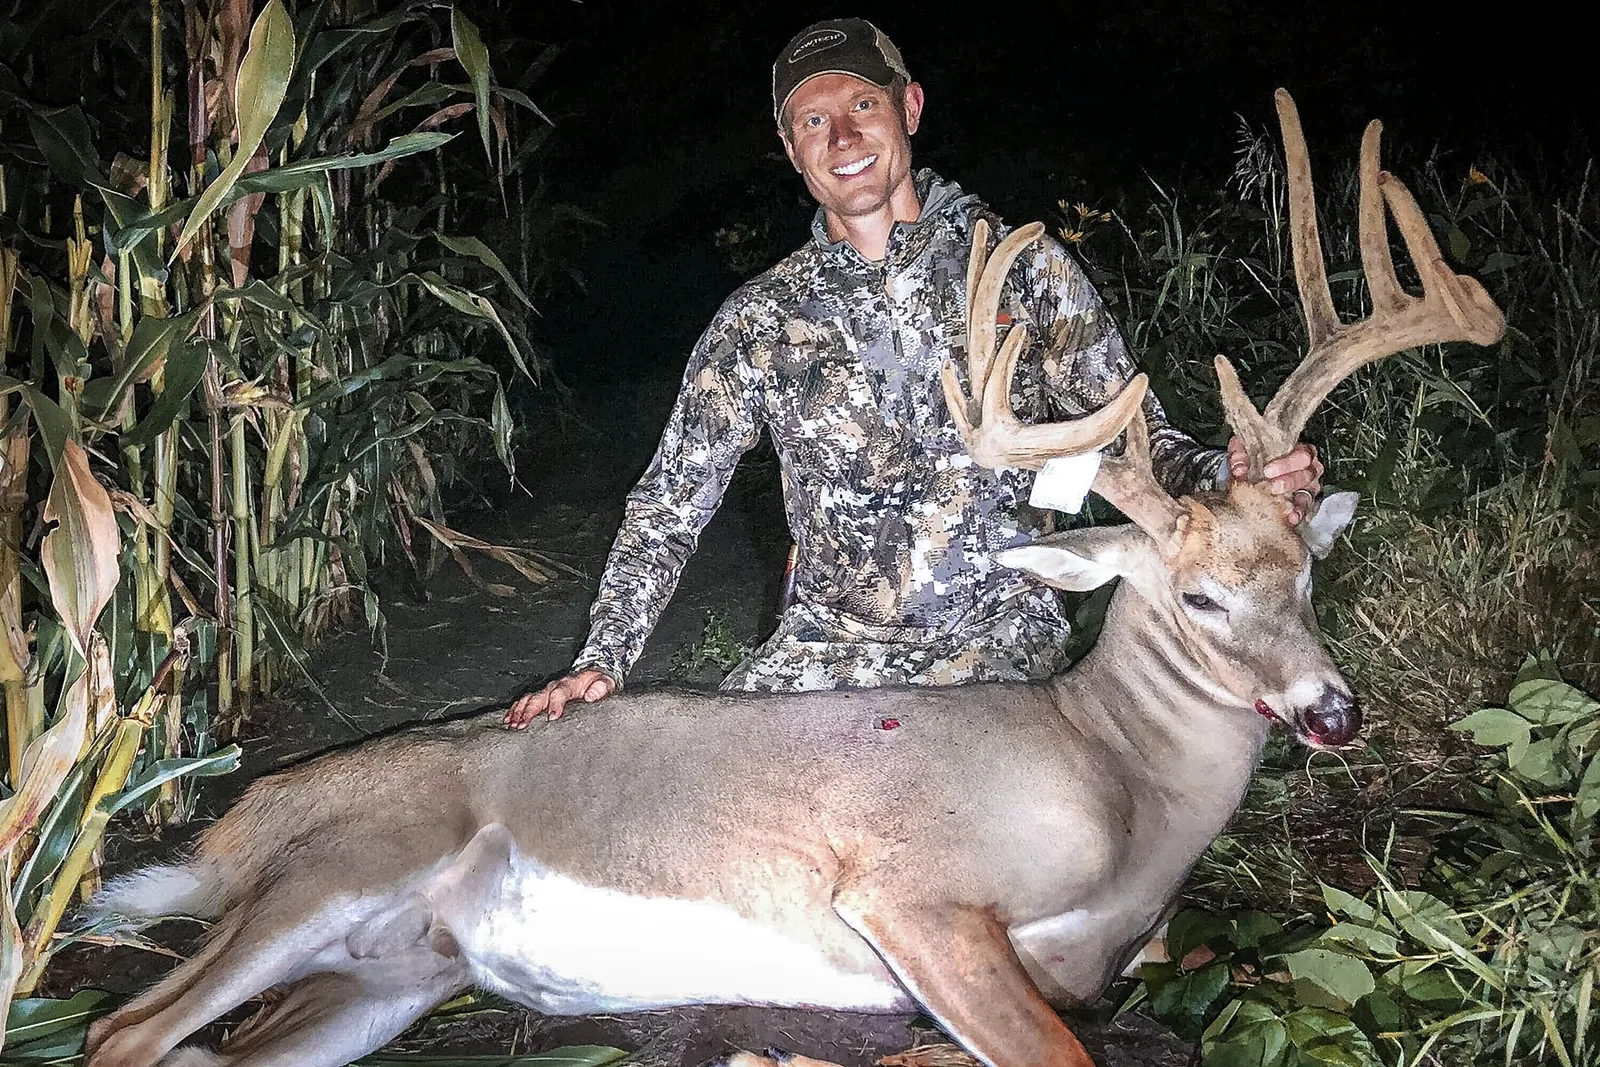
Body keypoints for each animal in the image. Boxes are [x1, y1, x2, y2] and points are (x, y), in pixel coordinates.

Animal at [81, 90, 1503, 1067]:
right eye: (1199, 598)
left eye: (1306, 574)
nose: (1333, 711)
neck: (1121, 792)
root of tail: (245, 815)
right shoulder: (912, 892)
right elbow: (1056, 1046)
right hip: (341, 865)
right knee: (122, 1031)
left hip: (394, 973)